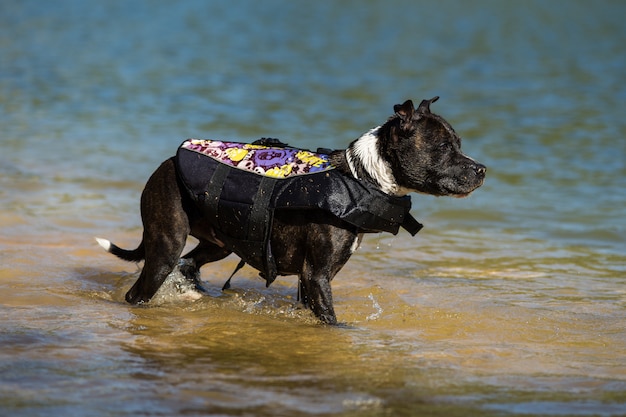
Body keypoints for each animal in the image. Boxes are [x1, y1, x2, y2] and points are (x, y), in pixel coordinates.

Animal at [97, 96, 486, 322]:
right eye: (442, 146)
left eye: (458, 144)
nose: (482, 169)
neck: (363, 176)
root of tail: (166, 163)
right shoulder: (316, 275)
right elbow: (331, 321)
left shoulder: (310, 279)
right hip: (167, 242)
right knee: (145, 287)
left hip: (220, 242)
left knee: (190, 264)